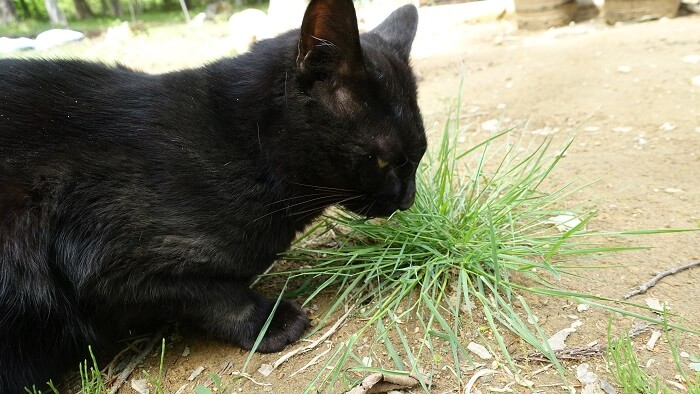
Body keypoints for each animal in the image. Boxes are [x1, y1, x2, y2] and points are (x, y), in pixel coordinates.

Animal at [0, 0, 426, 390]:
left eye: (420, 155)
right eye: (384, 161)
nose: (408, 198)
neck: (238, 145)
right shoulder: (106, 262)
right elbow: (215, 293)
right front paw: (269, 321)